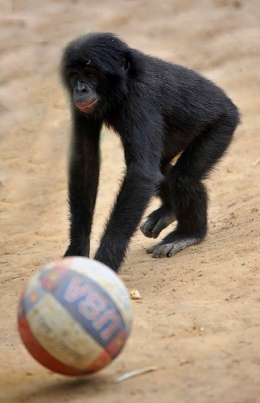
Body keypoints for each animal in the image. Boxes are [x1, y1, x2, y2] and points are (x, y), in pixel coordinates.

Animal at [60, 30, 240, 272]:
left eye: (90, 73)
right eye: (74, 75)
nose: (81, 88)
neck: (123, 85)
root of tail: (231, 105)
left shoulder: (140, 100)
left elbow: (140, 173)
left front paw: (107, 258)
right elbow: (86, 161)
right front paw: (77, 250)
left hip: (222, 125)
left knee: (184, 177)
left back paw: (188, 234)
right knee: (162, 165)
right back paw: (169, 210)